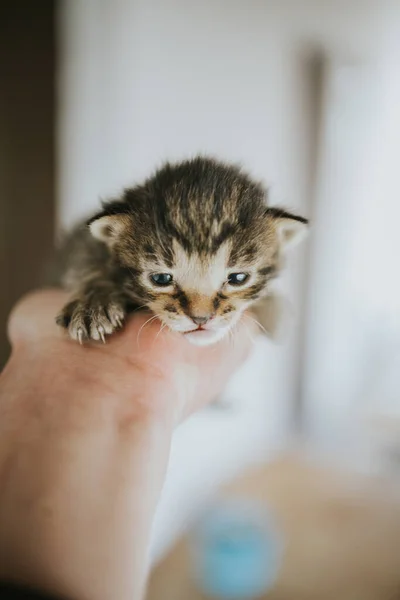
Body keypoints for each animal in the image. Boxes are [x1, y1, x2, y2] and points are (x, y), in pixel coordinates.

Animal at [53, 157, 308, 346]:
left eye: (238, 278)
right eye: (160, 279)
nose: (201, 319)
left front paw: (277, 310)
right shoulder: (80, 242)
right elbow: (87, 262)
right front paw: (93, 303)